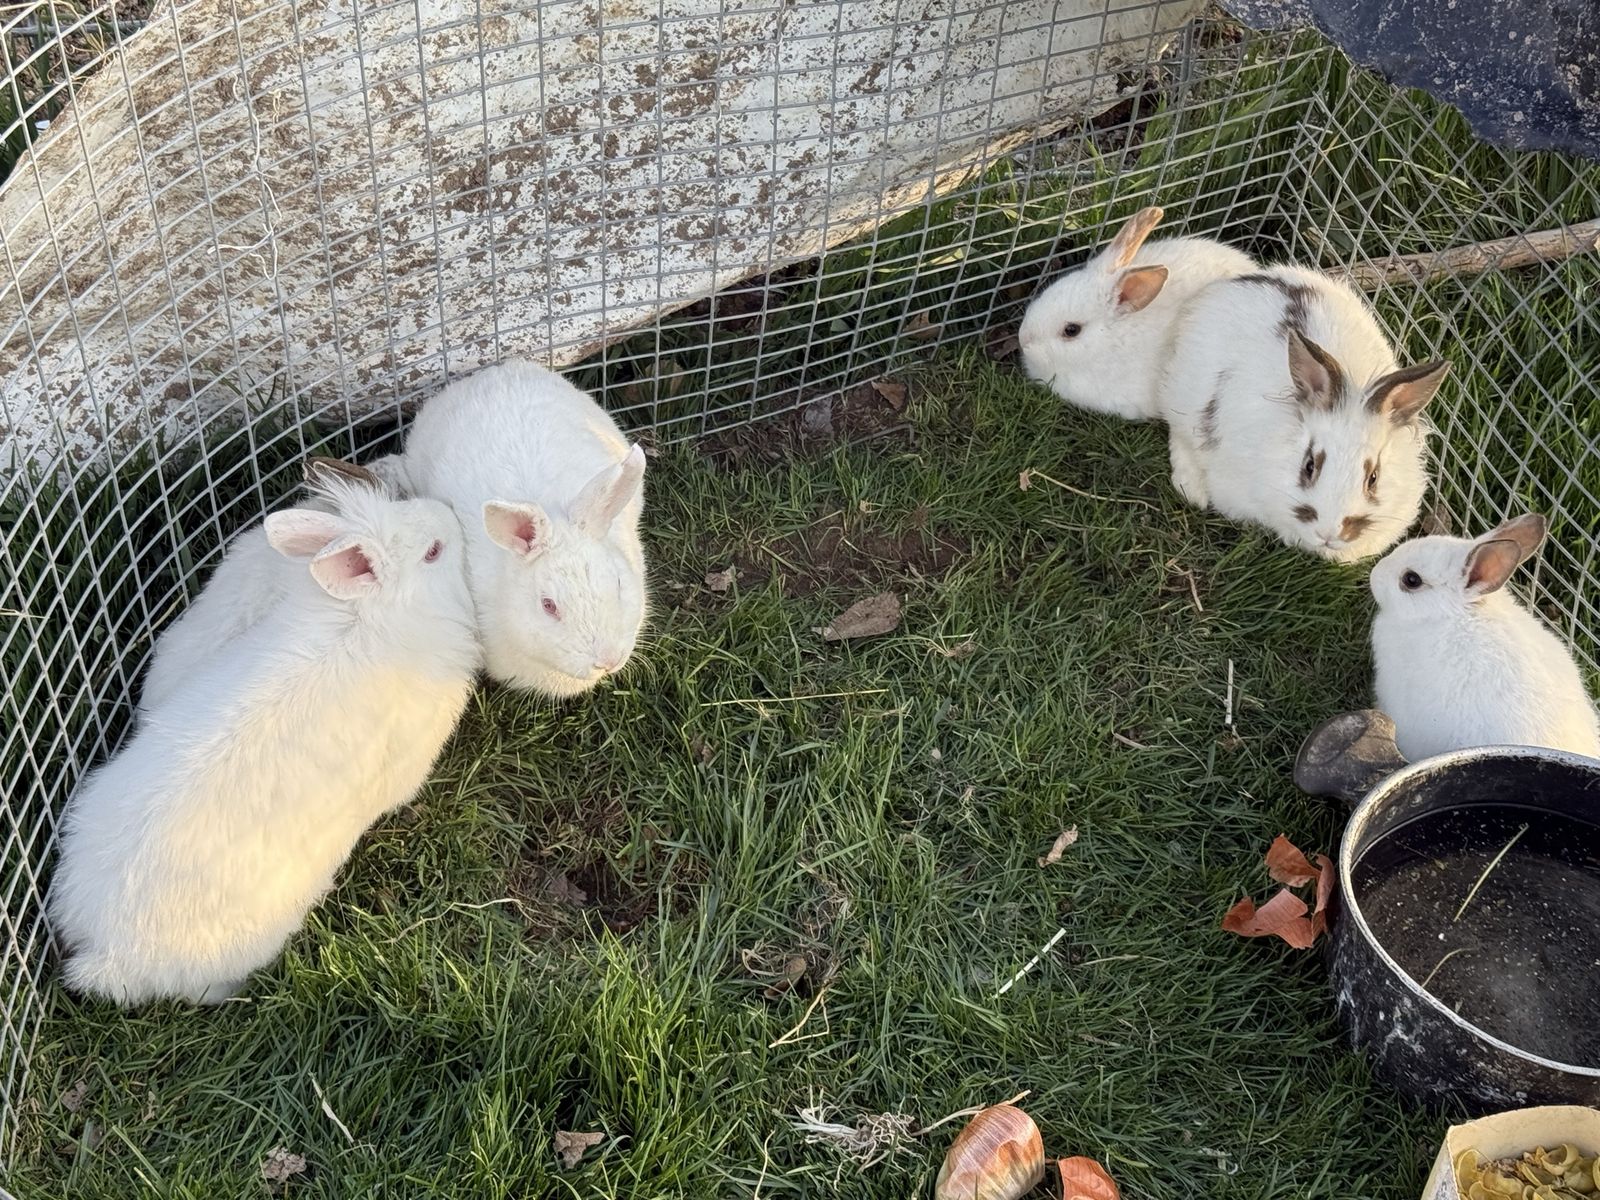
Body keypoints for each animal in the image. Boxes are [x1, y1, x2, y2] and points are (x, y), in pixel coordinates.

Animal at [1159, 266, 1450, 561]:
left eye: (1373, 478)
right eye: (1309, 466)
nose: (1329, 534)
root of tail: (1233, 282)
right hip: (1183, 398)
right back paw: (1191, 489)